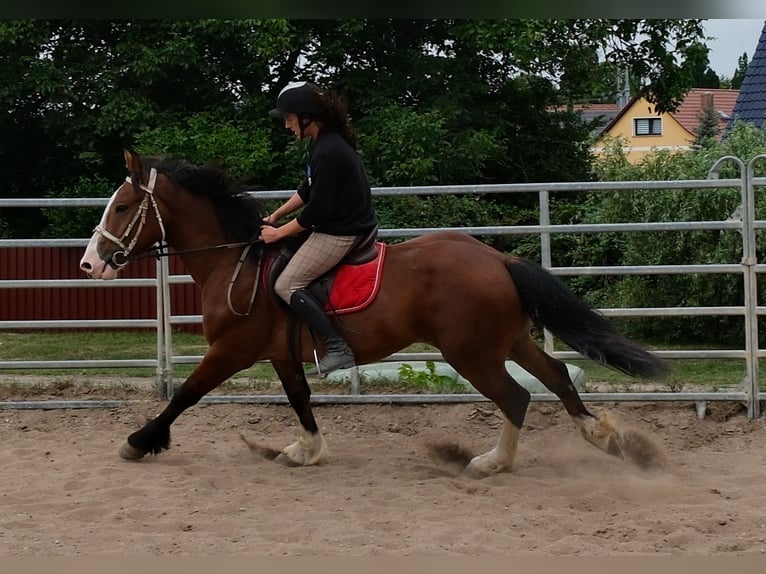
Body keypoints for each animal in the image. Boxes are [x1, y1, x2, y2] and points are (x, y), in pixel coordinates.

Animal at [79, 149, 669, 478]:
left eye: (123, 207)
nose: (89, 263)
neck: (236, 260)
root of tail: (497, 258)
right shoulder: (280, 354)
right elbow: (300, 399)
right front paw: (305, 450)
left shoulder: (232, 350)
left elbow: (185, 393)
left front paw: (139, 442)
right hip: (510, 341)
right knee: (555, 378)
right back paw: (605, 439)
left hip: (473, 353)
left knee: (516, 396)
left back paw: (490, 462)